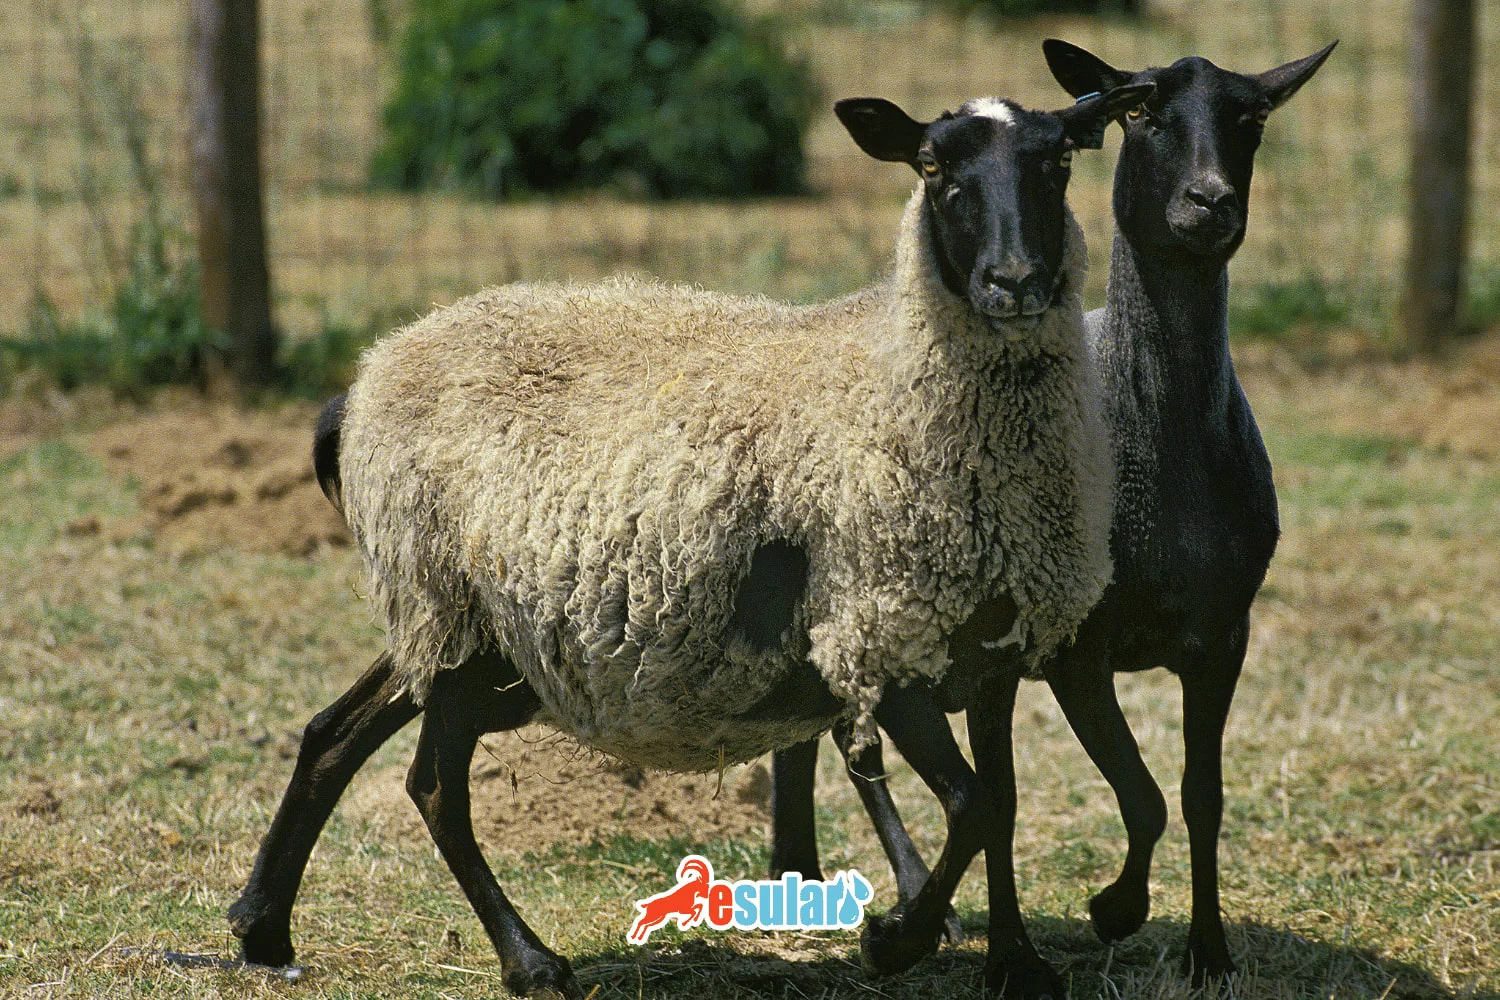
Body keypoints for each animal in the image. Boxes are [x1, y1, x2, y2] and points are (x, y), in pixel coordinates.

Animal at [227, 83, 1152, 999]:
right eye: (931, 166)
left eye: (1059, 159)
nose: (1014, 281)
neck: (895, 374)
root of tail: (364, 380)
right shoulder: (876, 634)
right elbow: (971, 805)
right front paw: (896, 940)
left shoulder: (996, 642)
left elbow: (1002, 802)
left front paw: (1017, 962)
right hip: (447, 603)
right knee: (434, 788)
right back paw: (529, 960)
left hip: (464, 629)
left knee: (334, 733)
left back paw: (261, 925)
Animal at [768, 41, 1336, 997]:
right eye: (1141, 114)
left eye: (1252, 117)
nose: (1210, 202)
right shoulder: (1076, 647)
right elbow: (1129, 796)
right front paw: (1105, 914)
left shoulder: (1224, 634)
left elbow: (1198, 795)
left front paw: (1207, 952)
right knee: (831, 740)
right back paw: (816, 880)